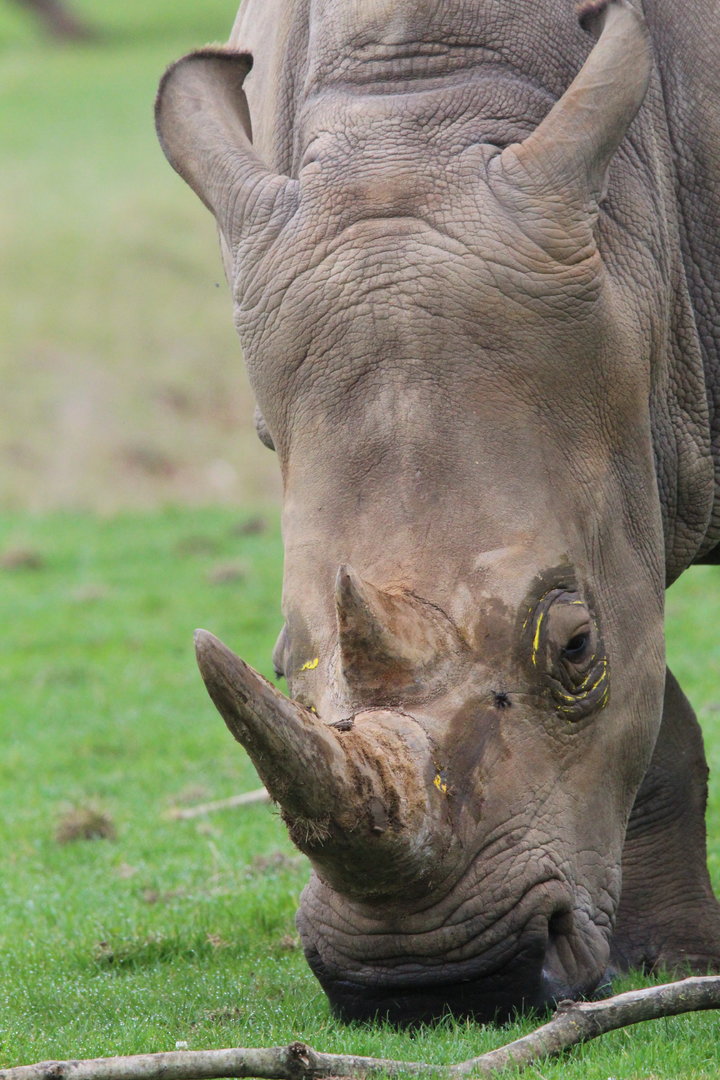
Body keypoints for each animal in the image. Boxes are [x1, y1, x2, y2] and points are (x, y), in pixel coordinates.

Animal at [156, 0, 720, 1023]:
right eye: (279, 667)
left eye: (576, 649)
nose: (428, 982)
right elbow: (656, 715)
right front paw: (670, 961)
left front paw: (686, 962)